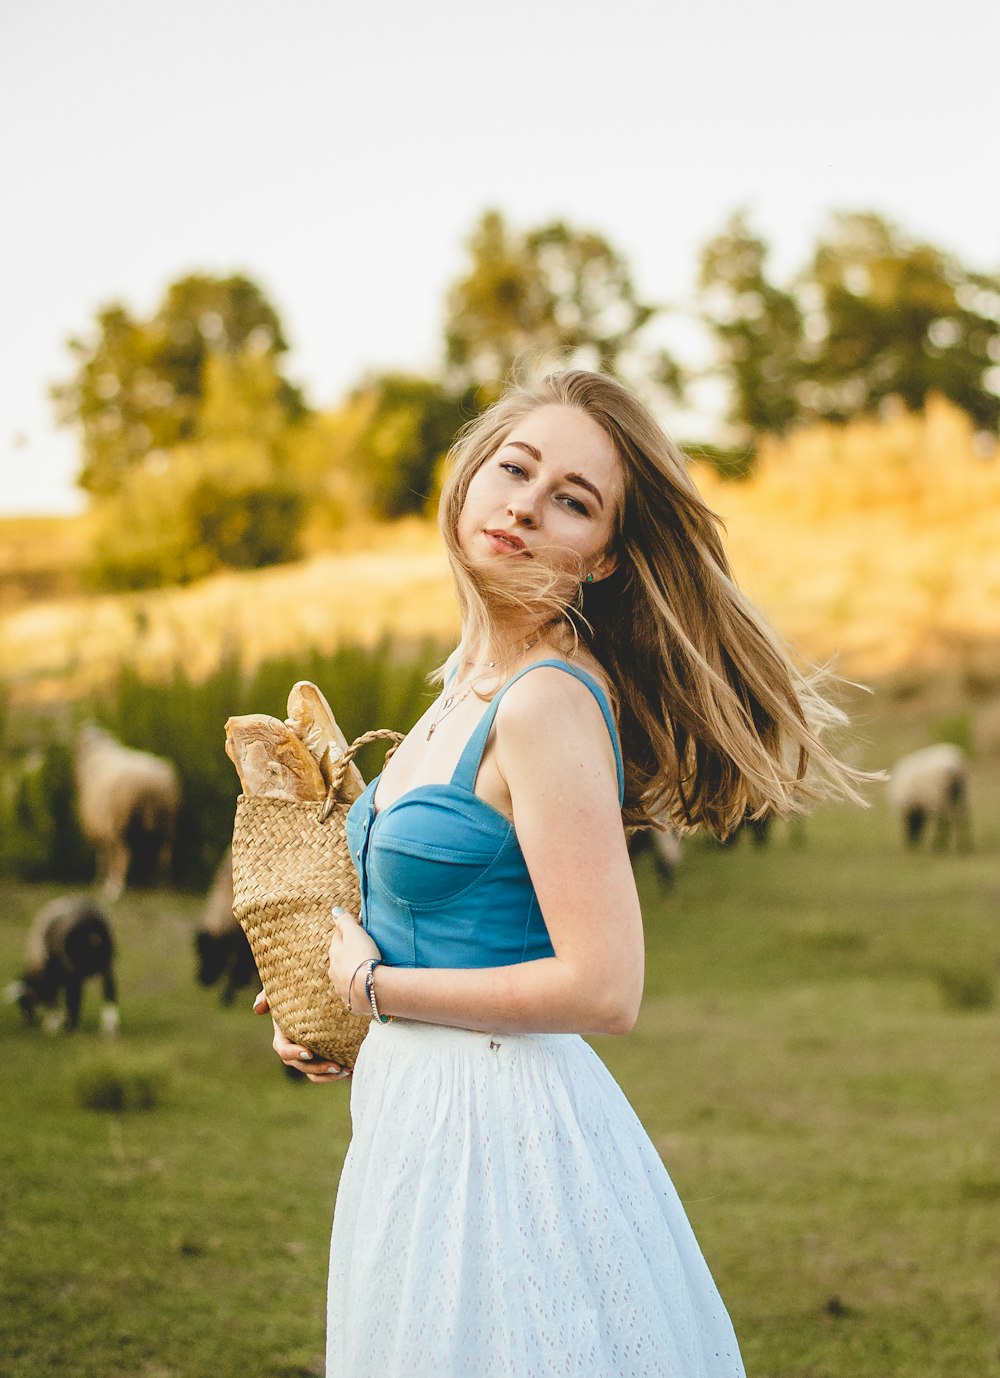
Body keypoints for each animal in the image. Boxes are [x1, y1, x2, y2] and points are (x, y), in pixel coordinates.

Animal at [6, 892, 119, 1036]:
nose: (29, 1023)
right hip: (108, 964)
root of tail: (90, 917)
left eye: (23, 1002)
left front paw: (51, 1026)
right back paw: (108, 1029)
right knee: (110, 992)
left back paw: (71, 1028)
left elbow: (54, 998)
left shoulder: (53, 975)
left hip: (73, 966)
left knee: (74, 997)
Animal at [74, 722, 181, 903]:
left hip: (122, 824)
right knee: (165, 853)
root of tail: (150, 783)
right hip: (167, 823)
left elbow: (103, 856)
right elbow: (106, 854)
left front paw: (99, 881)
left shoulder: (102, 828)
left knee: (125, 855)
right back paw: (162, 887)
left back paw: (115, 889)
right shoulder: (104, 830)